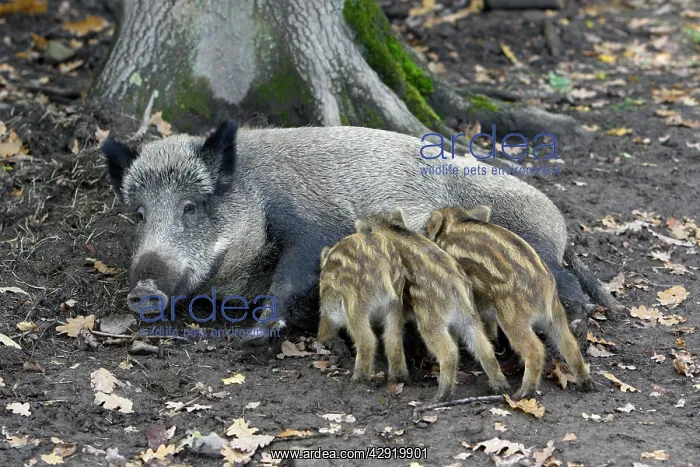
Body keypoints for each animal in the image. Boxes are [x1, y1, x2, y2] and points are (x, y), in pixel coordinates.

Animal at [102, 119, 616, 343]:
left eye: (191, 207)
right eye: (140, 214)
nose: (143, 288)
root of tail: (561, 228)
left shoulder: (312, 219)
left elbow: (295, 270)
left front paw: (255, 334)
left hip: (530, 240)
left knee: (565, 287)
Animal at [426, 205, 593, 399]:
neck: (453, 223)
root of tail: (545, 287)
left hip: (512, 317)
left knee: (535, 349)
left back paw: (522, 393)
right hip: (556, 314)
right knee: (570, 344)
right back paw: (586, 383)